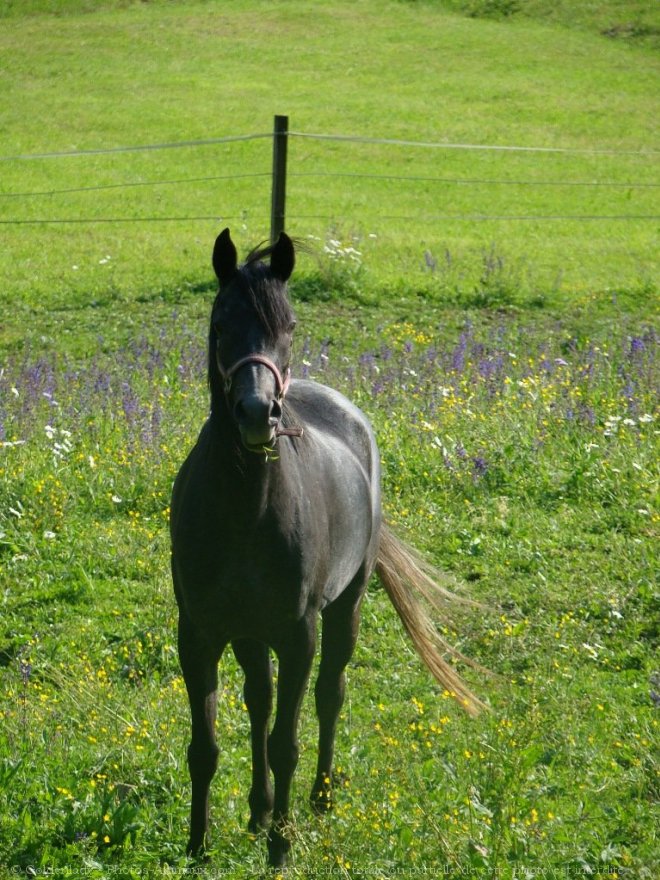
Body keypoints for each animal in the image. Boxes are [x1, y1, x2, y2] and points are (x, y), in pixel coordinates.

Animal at [168, 227, 482, 868]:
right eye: (220, 322)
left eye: (289, 325)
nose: (257, 413)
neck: (244, 509)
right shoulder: (200, 633)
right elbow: (205, 746)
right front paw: (197, 848)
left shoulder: (298, 634)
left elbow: (286, 742)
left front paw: (281, 852)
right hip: (250, 634)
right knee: (259, 702)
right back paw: (259, 812)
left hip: (345, 608)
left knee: (329, 696)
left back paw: (319, 799)